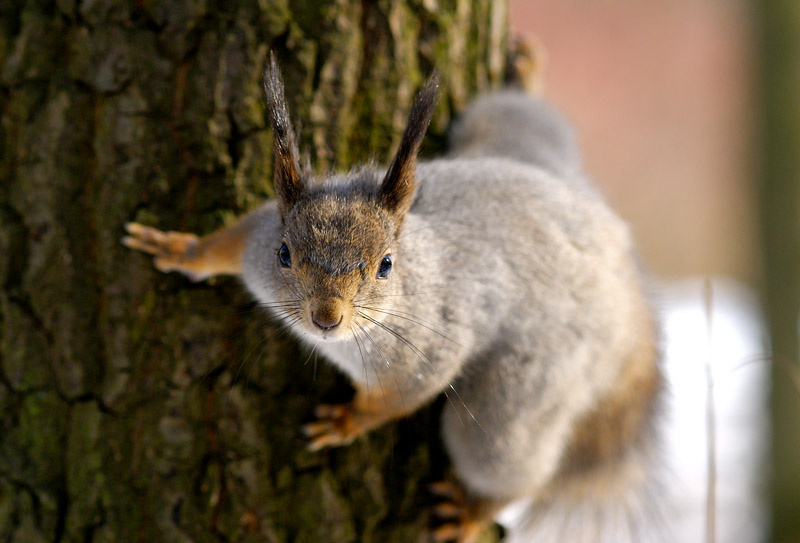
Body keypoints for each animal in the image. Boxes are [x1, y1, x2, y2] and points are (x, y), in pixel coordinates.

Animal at [123, 42, 663, 543]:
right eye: (284, 254)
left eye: (386, 265)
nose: (326, 317)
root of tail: (622, 273)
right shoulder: (256, 239)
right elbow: (227, 244)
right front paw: (180, 250)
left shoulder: (427, 351)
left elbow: (397, 400)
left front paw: (346, 422)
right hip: (506, 133)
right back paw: (528, 77)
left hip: (523, 389)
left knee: (510, 461)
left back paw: (471, 513)